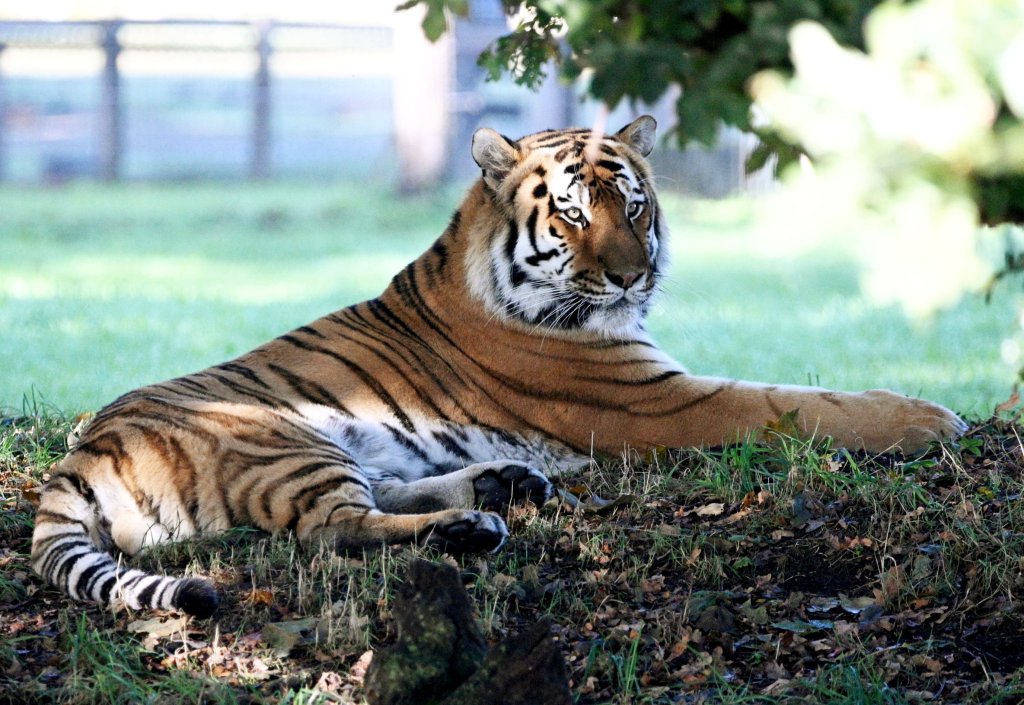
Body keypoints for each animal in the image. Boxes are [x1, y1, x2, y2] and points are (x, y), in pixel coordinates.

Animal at [31, 116, 965, 617]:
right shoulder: (661, 400)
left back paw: (501, 483)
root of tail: (79, 453)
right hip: (279, 437)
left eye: (635, 206)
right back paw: (471, 525)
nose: (632, 276)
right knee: (333, 528)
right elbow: (800, 402)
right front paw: (930, 417)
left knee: (376, 496)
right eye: (574, 213)